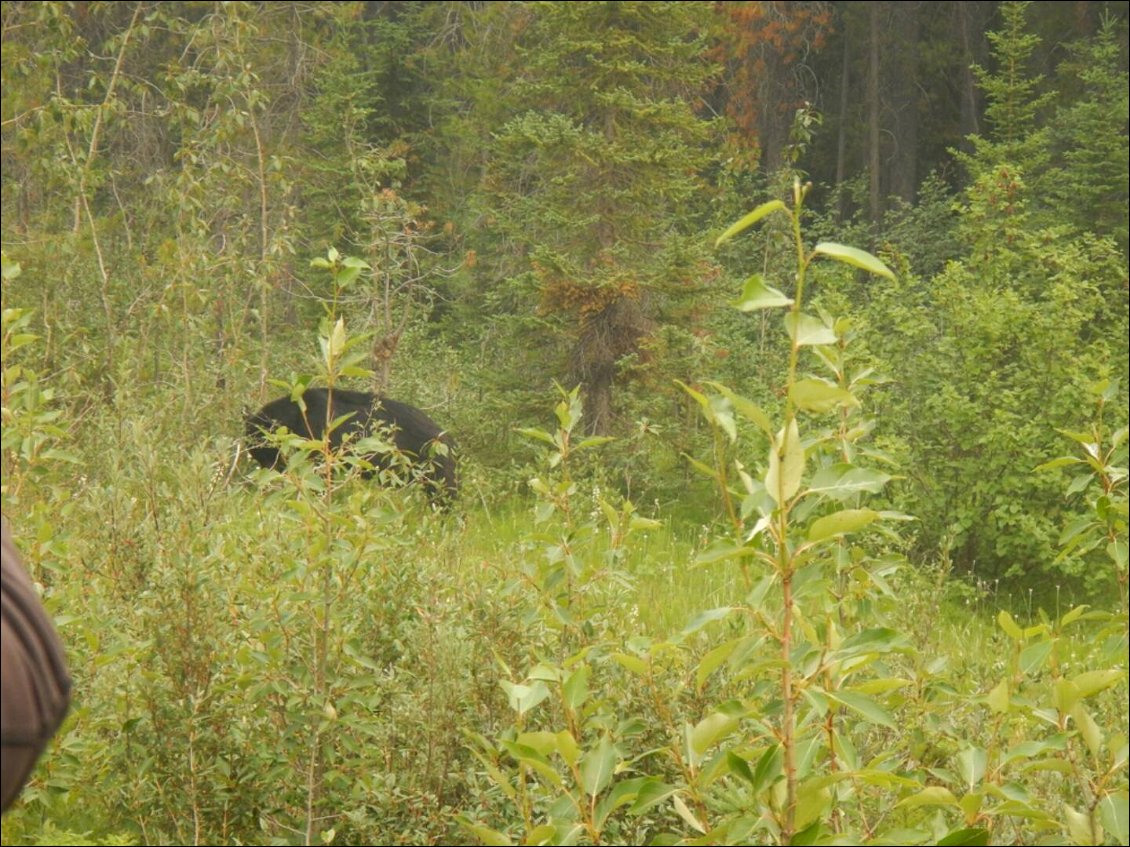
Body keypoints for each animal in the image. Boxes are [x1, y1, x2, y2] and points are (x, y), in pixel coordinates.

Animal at [245, 390, 456, 508]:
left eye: (264, 452)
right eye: (258, 455)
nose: (272, 473)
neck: (297, 415)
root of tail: (447, 438)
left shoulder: (320, 433)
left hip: (432, 465)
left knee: (445, 492)